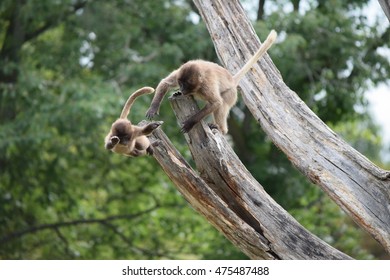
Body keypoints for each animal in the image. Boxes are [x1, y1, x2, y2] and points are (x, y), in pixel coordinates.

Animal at [146, 29, 278, 135]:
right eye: (181, 84)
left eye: (185, 85)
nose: (182, 89)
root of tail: (231, 80)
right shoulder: (180, 73)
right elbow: (165, 83)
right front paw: (153, 108)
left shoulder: (206, 85)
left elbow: (216, 103)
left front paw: (190, 122)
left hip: (231, 93)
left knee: (223, 103)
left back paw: (222, 130)